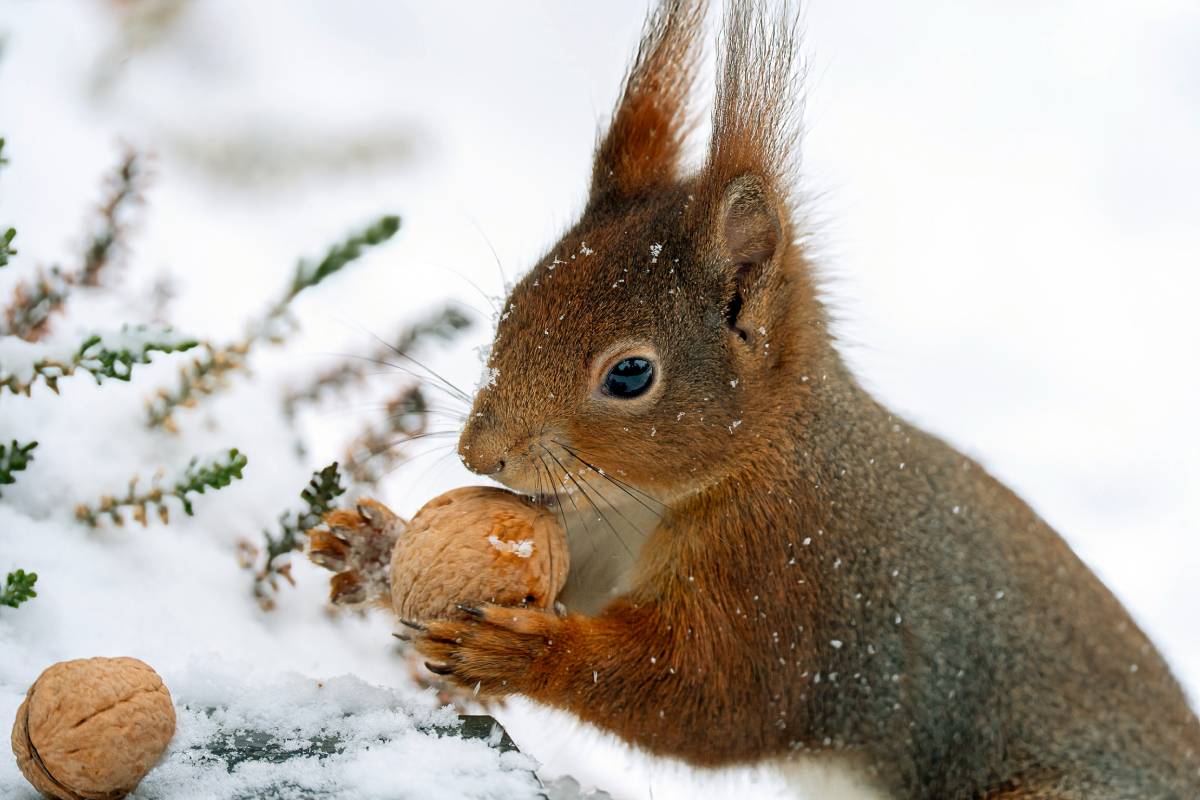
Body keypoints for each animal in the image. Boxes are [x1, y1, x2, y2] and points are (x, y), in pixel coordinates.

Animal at [409, 1, 1200, 797]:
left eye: (630, 375)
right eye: (514, 304)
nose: (479, 453)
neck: (647, 501)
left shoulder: (784, 578)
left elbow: (711, 698)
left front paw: (515, 654)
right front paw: (381, 545)